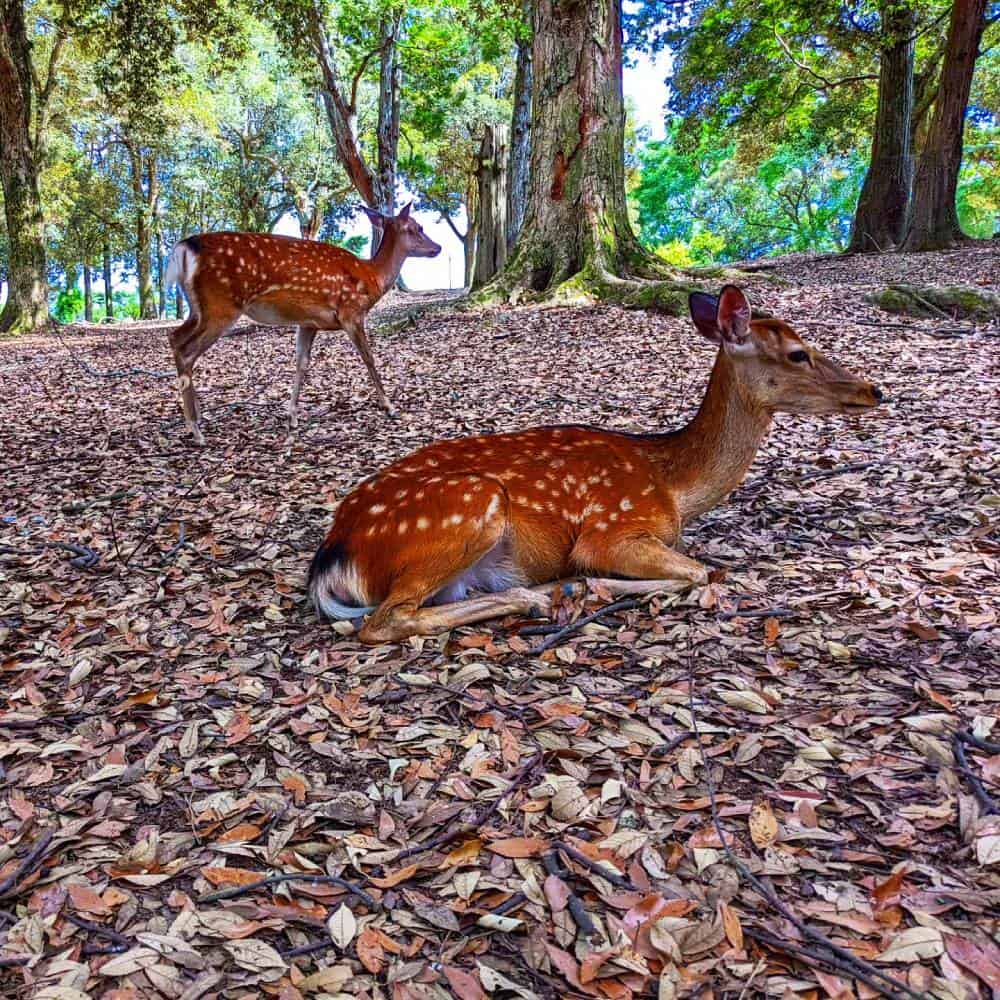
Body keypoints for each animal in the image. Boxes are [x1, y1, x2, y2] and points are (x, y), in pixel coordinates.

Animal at [166, 201, 440, 444]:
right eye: (417, 227)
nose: (437, 247)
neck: (372, 277)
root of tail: (184, 248)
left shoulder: (309, 322)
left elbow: (301, 363)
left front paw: (292, 417)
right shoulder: (351, 311)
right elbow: (368, 357)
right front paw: (389, 406)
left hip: (199, 308)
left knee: (175, 337)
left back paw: (196, 418)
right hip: (221, 305)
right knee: (186, 349)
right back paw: (196, 430)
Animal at [306, 286, 884, 644]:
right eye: (797, 353)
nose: (872, 389)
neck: (673, 485)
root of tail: (332, 558)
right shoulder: (612, 529)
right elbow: (700, 570)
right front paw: (589, 584)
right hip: (469, 505)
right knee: (385, 620)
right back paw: (539, 597)